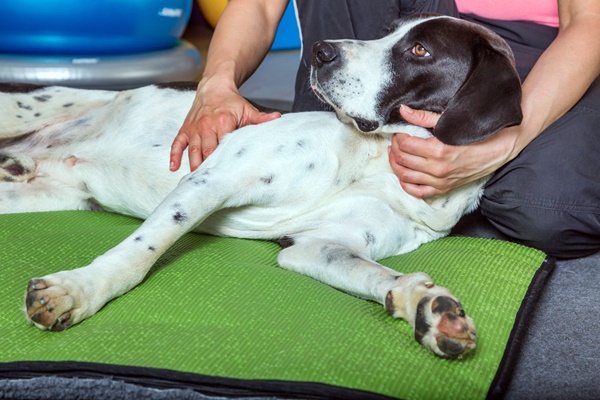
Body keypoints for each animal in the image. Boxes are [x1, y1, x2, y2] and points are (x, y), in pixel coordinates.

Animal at [2, 14, 520, 360]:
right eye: (390, 33)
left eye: (420, 51)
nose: (321, 51)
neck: (377, 161)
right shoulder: (213, 179)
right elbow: (139, 253)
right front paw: (80, 290)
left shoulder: (318, 247)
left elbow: (384, 277)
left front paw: (426, 307)